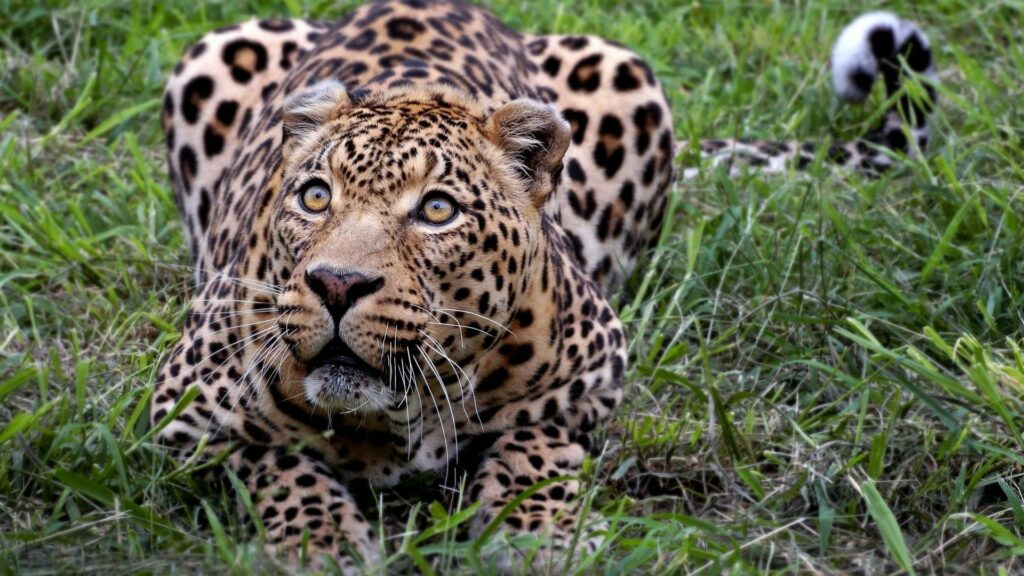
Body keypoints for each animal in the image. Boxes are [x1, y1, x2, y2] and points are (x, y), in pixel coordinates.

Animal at [152, 2, 936, 571]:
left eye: (437, 210)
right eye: (315, 198)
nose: (337, 283)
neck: (399, 417)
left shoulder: (594, 373)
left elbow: (536, 444)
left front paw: (535, 538)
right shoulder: (181, 411)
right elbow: (277, 461)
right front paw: (323, 543)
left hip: (626, 73)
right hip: (217, 48)